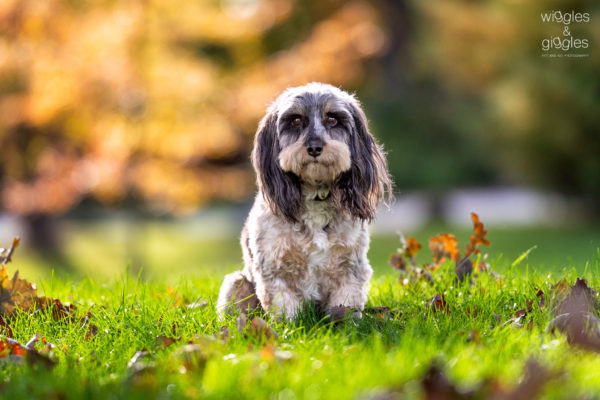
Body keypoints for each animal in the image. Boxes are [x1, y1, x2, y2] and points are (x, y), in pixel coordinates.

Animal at [218, 83, 392, 320]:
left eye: (332, 119)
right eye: (296, 120)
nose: (314, 148)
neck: (315, 196)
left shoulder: (350, 266)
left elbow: (345, 304)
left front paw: (345, 324)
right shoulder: (274, 267)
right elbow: (284, 306)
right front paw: (287, 326)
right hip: (236, 283)